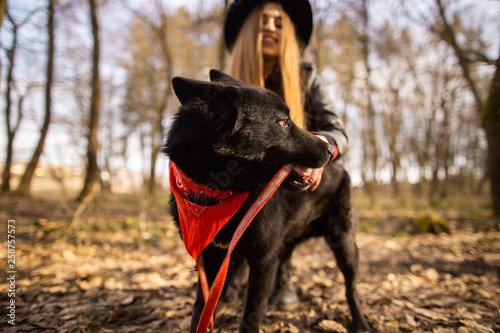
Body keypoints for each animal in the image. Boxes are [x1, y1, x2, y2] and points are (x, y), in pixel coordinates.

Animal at [165, 68, 372, 330]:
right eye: (282, 122)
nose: (329, 151)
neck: (218, 193)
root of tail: (342, 168)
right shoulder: (213, 258)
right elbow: (201, 311)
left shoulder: (263, 260)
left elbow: (251, 316)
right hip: (284, 245)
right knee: (282, 271)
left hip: (344, 244)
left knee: (351, 289)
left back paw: (360, 323)